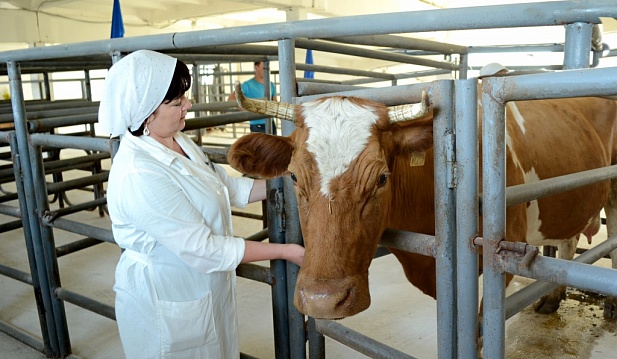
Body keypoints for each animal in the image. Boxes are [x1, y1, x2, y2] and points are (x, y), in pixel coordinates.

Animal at [227, 83, 616, 320]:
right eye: (293, 177)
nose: (322, 300)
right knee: (569, 240)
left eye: (382, 178)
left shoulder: (502, 263)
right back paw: (552, 297)